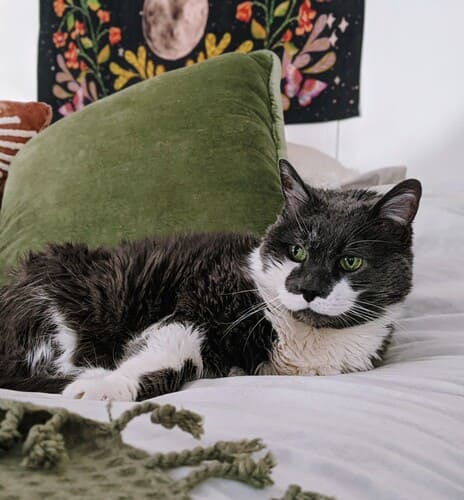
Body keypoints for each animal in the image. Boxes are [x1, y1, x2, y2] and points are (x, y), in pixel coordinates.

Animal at [0, 161, 422, 402]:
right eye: (297, 252)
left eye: (350, 261)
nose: (309, 289)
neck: (304, 337)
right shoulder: (200, 301)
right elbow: (172, 351)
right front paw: (106, 386)